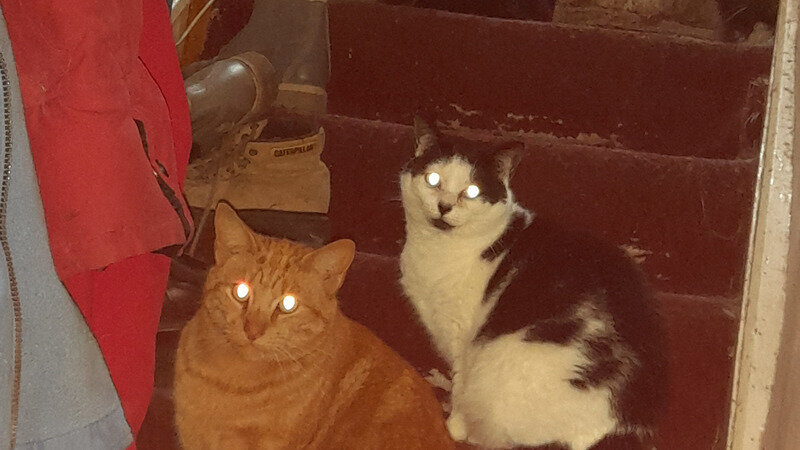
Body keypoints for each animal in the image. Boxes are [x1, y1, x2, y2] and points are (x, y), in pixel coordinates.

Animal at [399, 117, 667, 450]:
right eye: (433, 179)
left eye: (472, 191)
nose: (445, 205)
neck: (435, 250)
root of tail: (620, 427)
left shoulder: (462, 336)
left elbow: (460, 381)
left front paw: (454, 424)